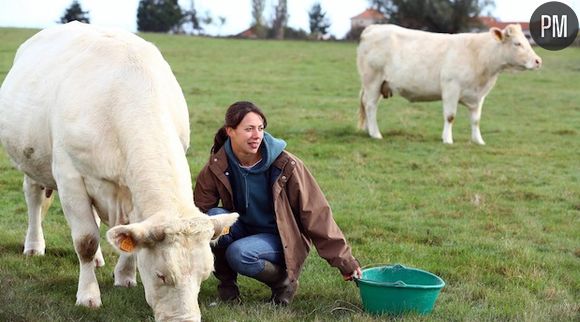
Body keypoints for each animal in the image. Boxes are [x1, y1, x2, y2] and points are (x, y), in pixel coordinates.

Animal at [0, 21, 238, 320]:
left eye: (204, 275)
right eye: (161, 275)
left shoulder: (130, 191)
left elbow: (130, 236)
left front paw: (124, 276)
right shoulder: (70, 178)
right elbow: (86, 240)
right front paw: (88, 296)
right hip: (32, 158)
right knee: (34, 198)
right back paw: (34, 246)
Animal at [356, 22, 540, 143]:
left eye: (526, 40)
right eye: (517, 43)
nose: (538, 61)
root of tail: (373, 28)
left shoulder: (479, 96)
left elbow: (476, 119)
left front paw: (478, 141)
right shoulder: (451, 87)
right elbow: (450, 116)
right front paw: (447, 139)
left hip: (381, 84)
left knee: (368, 105)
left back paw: (369, 130)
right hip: (372, 80)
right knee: (370, 105)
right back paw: (376, 134)